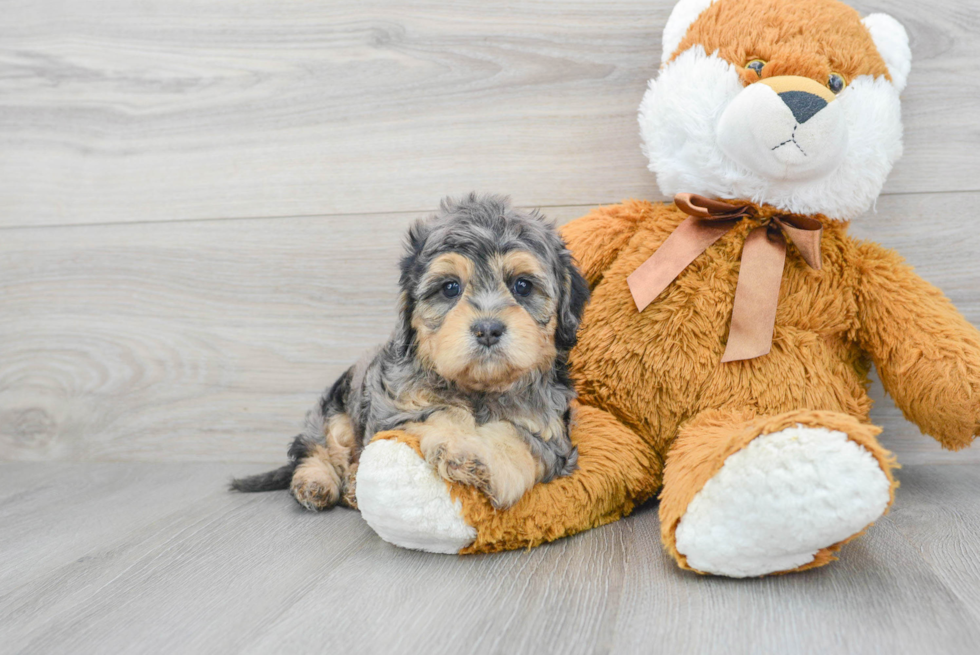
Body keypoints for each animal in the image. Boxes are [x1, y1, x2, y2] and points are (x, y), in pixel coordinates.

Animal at [235, 195, 588, 512]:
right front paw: (461, 442)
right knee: (317, 446)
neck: (478, 389)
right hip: (336, 409)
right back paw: (316, 482)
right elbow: (442, 412)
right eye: (450, 288)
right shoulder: (396, 407)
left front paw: (478, 458)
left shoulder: (550, 430)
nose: (487, 329)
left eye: (523, 286)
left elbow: (518, 439)